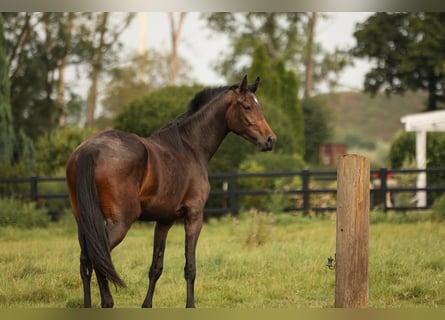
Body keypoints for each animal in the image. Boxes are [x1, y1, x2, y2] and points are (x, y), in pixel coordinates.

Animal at [66, 75, 276, 308]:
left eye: (260, 107)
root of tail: (90, 150)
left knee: (85, 262)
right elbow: (190, 267)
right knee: (98, 257)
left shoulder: (164, 221)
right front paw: (190, 305)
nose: (270, 139)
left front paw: (147, 305)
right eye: (247, 106)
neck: (189, 147)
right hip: (120, 222)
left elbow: (156, 267)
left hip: (84, 222)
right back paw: (108, 301)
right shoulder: (194, 216)